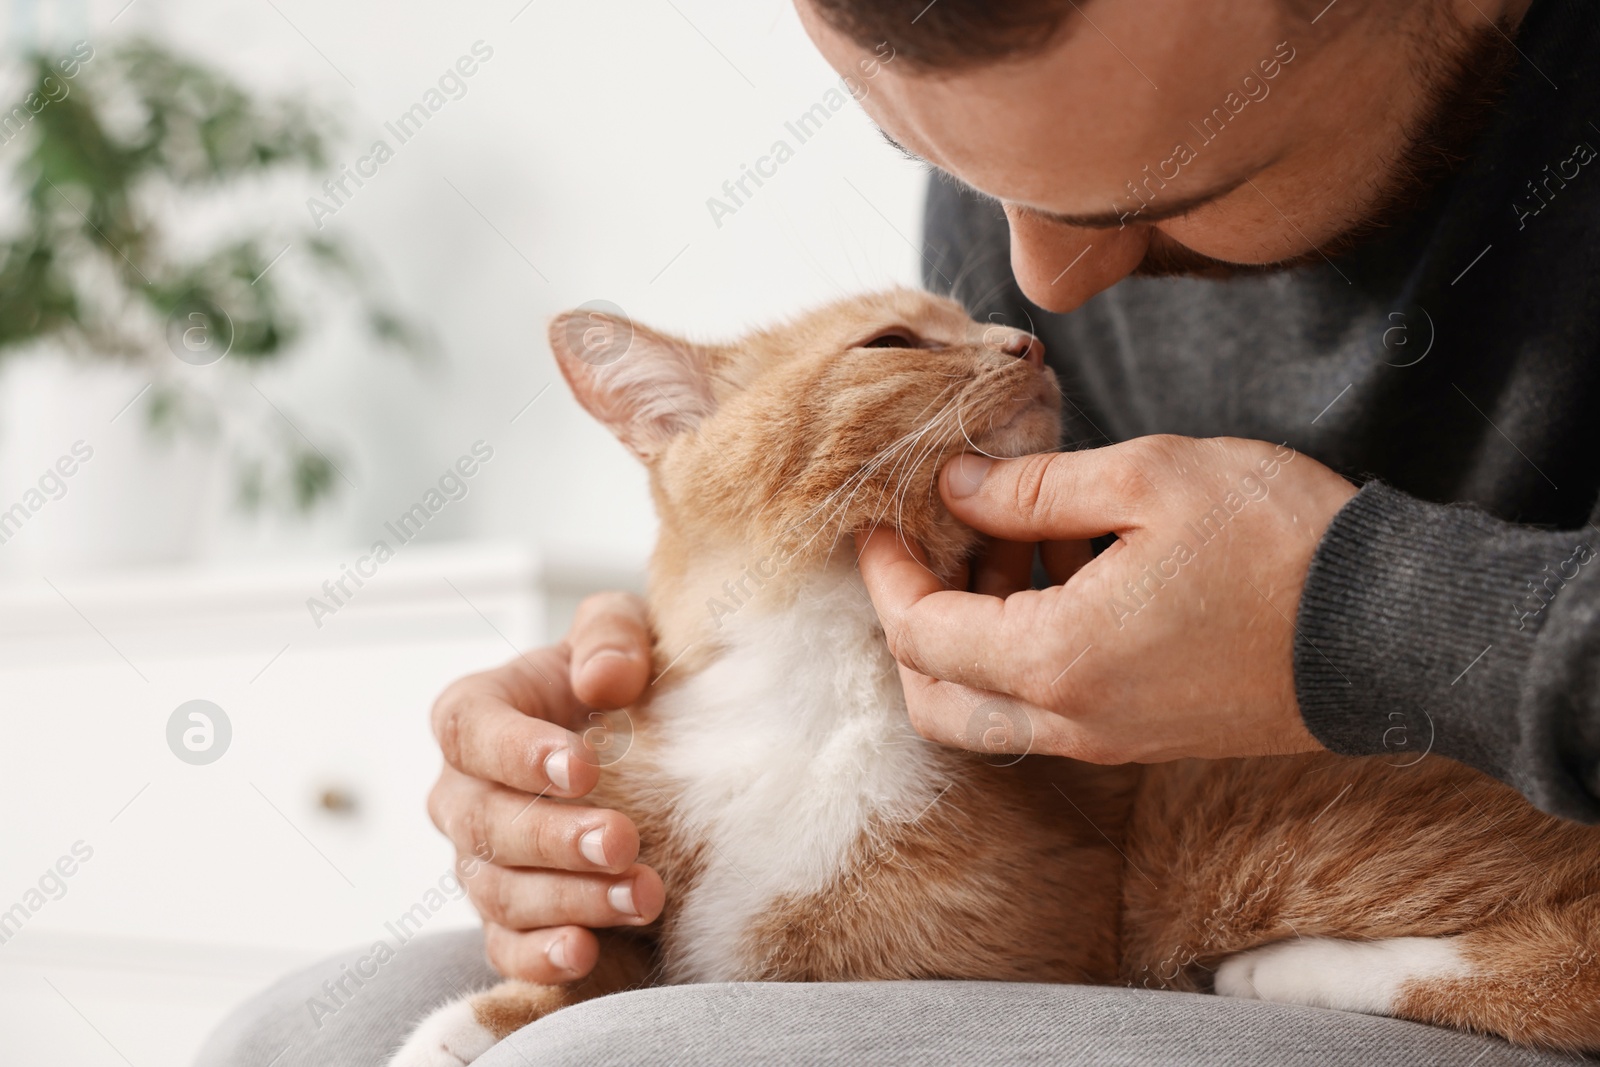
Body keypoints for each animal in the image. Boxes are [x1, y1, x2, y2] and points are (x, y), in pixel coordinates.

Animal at [387, 287, 1600, 1062]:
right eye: (891, 340)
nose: (1027, 341)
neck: (824, 676)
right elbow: (593, 964)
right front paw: (480, 1015)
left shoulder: (972, 950)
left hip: (1230, 814)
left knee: (1553, 967)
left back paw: (1276, 969)